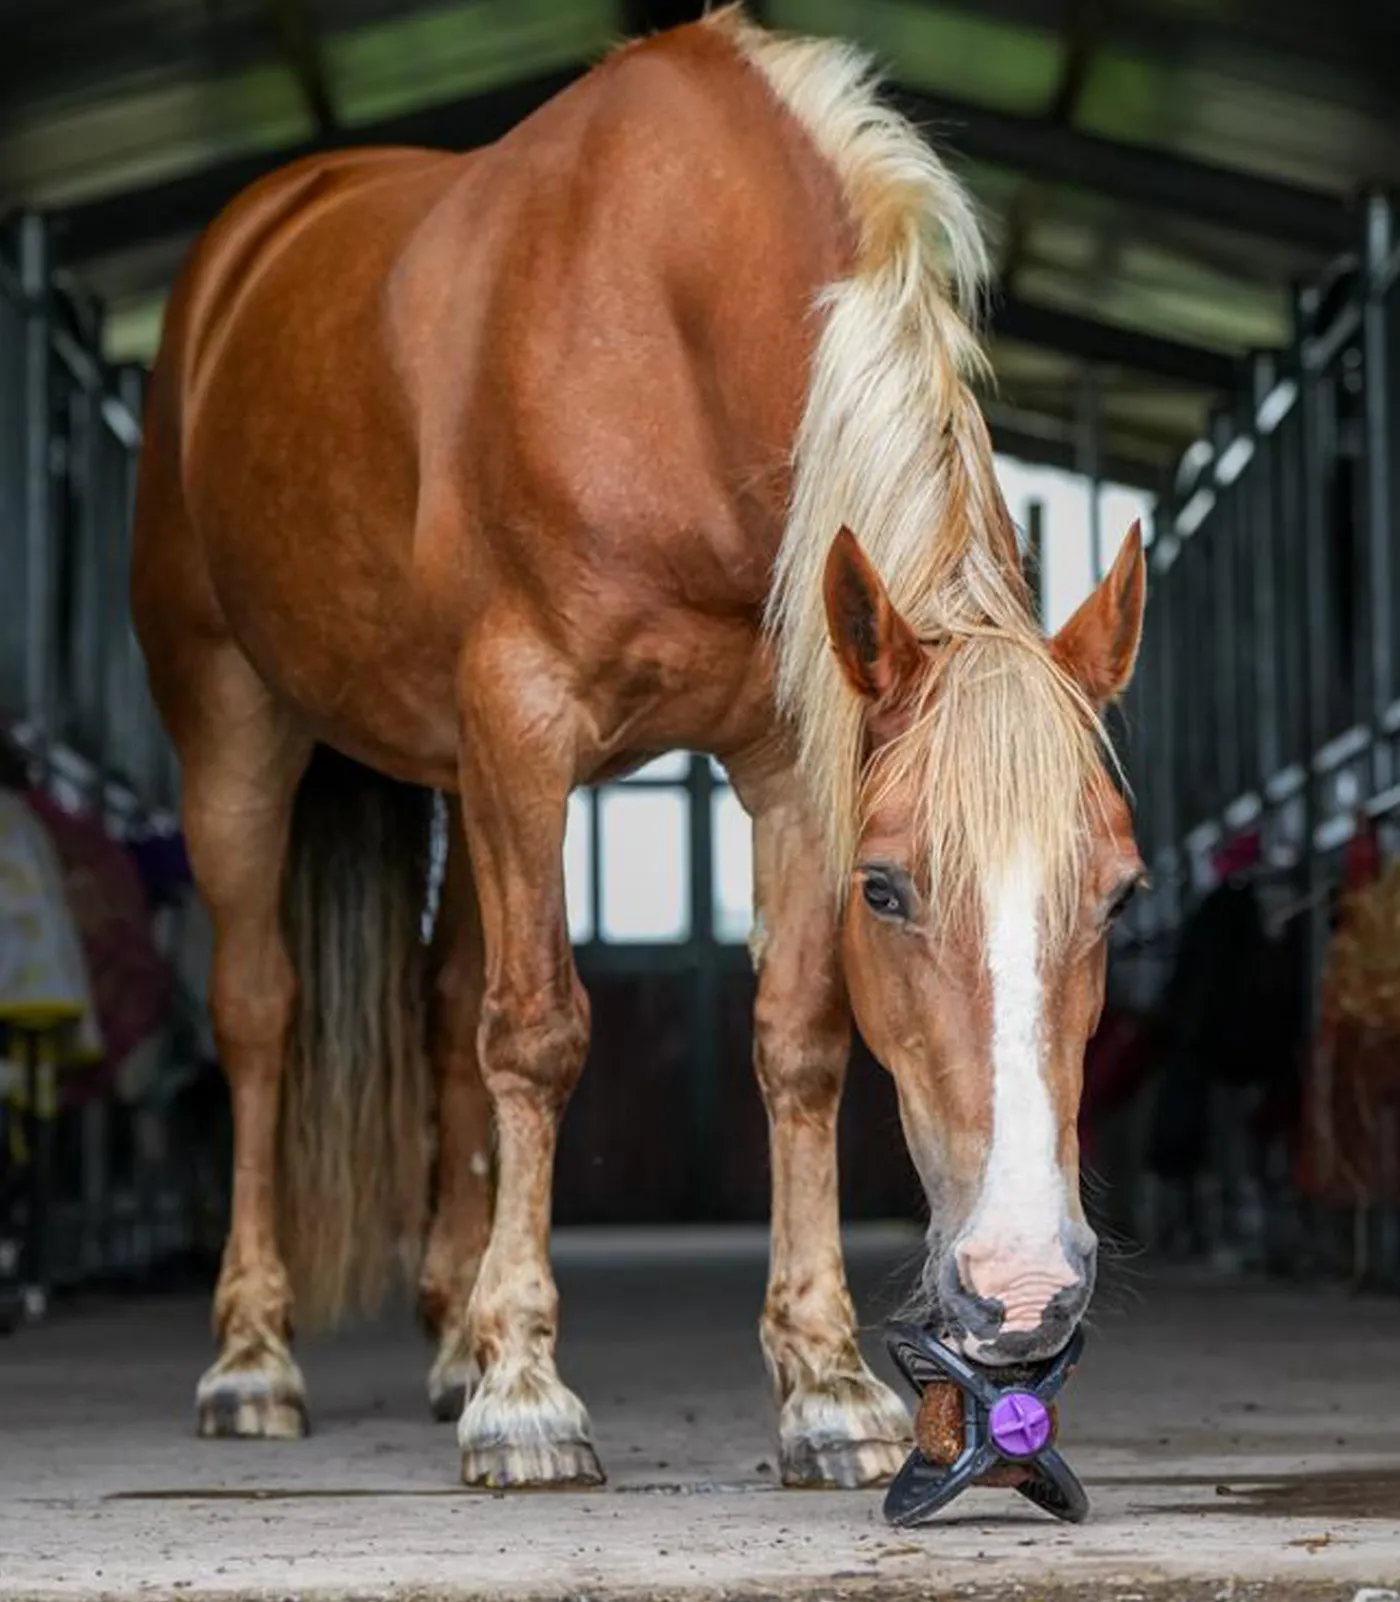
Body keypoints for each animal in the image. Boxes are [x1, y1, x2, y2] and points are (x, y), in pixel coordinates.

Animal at [131, 6, 1147, 1491]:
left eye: (1120, 895)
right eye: (888, 888)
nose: (1022, 1289)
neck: (666, 327)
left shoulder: (787, 757)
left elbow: (795, 1045)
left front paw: (826, 1385)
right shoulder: (523, 720)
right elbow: (539, 1032)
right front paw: (526, 1398)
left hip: (451, 777)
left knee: (444, 1003)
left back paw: (449, 1337)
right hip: (236, 727)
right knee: (261, 1015)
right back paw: (254, 1359)